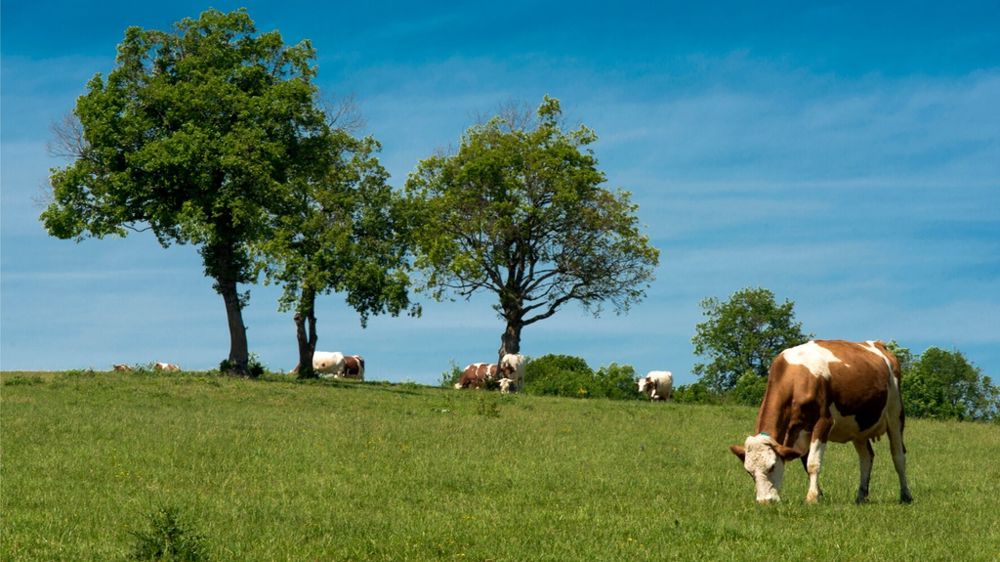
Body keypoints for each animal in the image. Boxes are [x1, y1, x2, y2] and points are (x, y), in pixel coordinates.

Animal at [729, 340, 912, 505]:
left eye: (772, 466)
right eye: (749, 472)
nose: (765, 501)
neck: (796, 378)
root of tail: (879, 344)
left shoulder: (823, 423)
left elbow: (812, 463)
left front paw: (811, 498)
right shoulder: (801, 432)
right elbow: (806, 463)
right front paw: (819, 494)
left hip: (895, 414)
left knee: (898, 456)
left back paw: (905, 495)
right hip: (858, 427)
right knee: (866, 457)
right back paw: (861, 496)